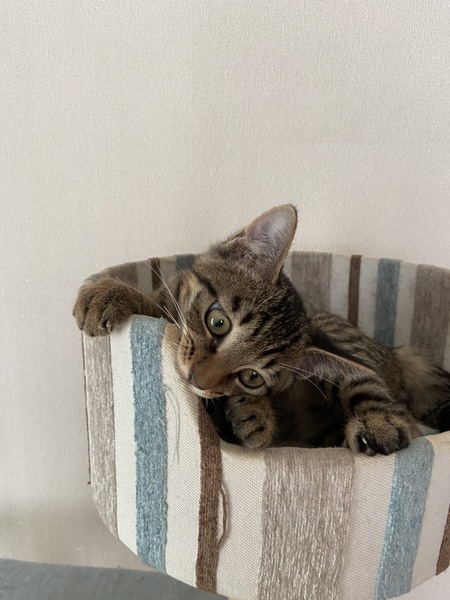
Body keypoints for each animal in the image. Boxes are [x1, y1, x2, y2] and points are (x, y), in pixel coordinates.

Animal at [73, 205, 450, 455]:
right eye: (218, 321)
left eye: (252, 377)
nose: (197, 380)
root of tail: (392, 353)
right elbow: (159, 307)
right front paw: (111, 293)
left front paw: (252, 411)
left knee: (389, 405)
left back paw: (383, 425)